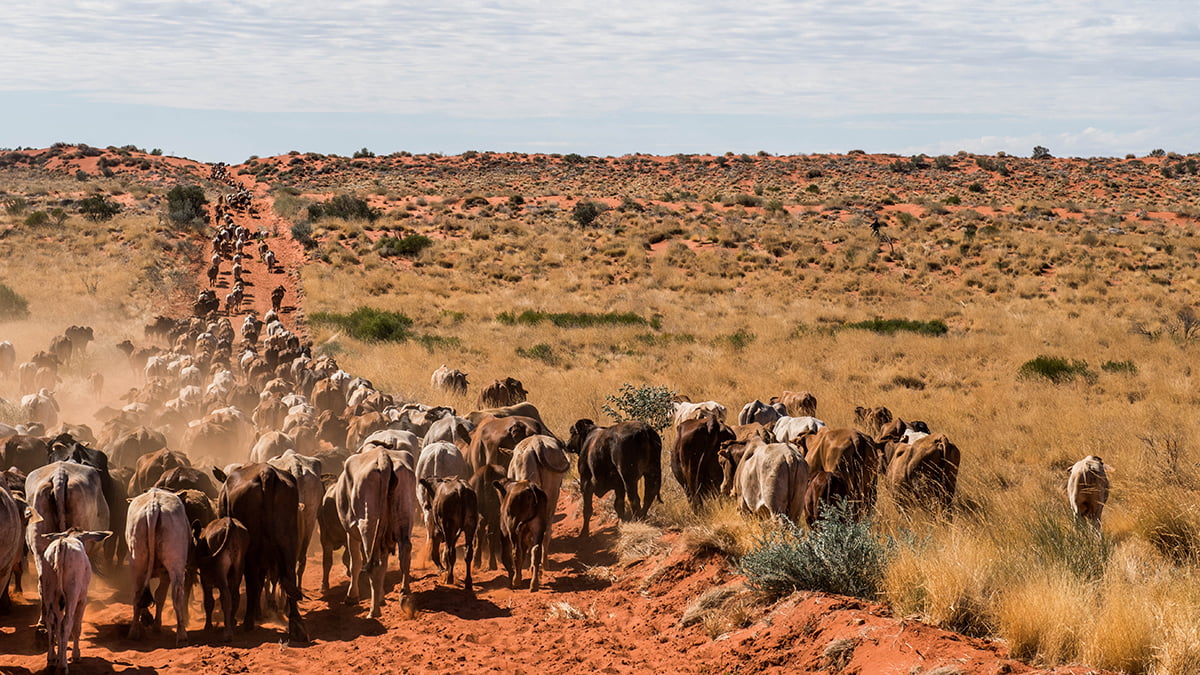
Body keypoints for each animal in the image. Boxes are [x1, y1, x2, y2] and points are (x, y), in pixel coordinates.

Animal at [35, 528, 111, 667]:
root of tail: (62, 544)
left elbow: (58, 627)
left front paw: (59, 655)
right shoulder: (82, 599)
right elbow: (76, 627)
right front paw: (75, 655)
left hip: (49, 590)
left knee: (51, 621)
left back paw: (52, 658)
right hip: (72, 593)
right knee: (67, 622)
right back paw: (63, 665)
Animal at [216, 461, 309, 638]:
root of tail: (267, 473)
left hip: (251, 549)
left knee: (253, 583)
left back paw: (248, 622)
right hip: (288, 542)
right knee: (289, 576)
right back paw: (296, 625)